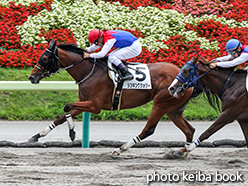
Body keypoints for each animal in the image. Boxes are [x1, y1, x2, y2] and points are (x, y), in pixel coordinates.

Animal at [28, 39, 196, 155]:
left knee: (148, 130)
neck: (89, 71)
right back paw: (183, 153)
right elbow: (61, 116)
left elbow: (66, 106)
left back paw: (120, 149)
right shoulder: (84, 101)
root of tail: (188, 79)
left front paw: (72, 133)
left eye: (44, 58)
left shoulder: (94, 105)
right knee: (189, 130)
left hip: (161, 103)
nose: (31, 77)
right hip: (173, 109)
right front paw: (37, 135)